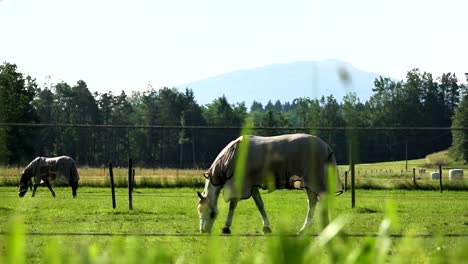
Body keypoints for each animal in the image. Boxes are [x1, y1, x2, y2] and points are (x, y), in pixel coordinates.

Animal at [196, 133, 342, 234]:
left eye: (209, 213)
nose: (203, 230)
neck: (231, 156)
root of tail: (326, 147)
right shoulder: (252, 186)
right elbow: (260, 204)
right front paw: (266, 227)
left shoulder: (241, 184)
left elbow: (233, 205)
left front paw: (226, 227)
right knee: (313, 202)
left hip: (313, 182)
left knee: (315, 203)